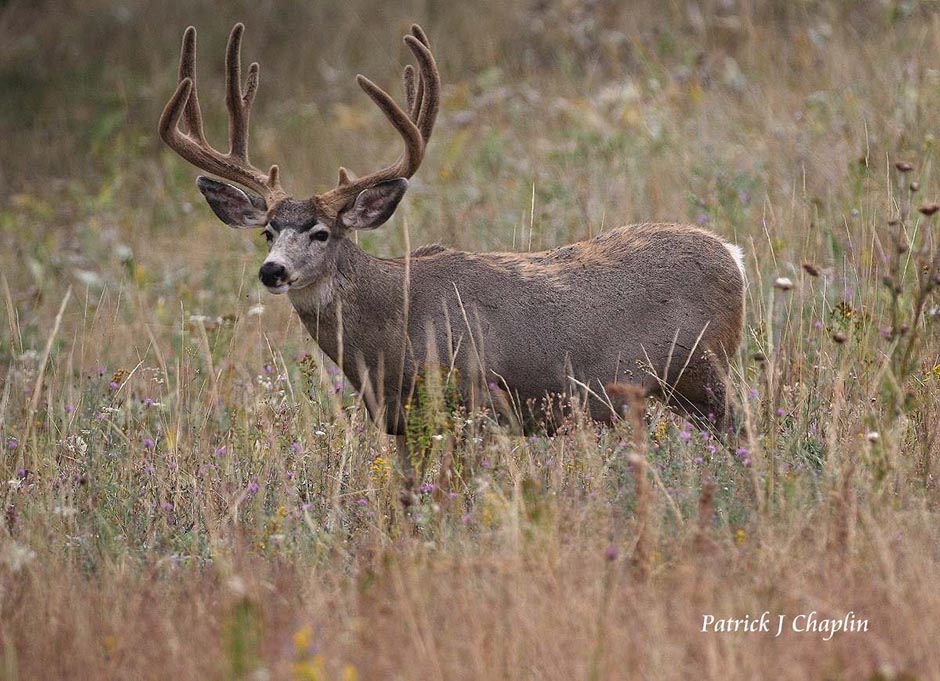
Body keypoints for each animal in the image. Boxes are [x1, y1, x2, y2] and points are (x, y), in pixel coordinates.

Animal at [160, 22, 748, 488]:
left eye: (322, 233)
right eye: (267, 232)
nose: (273, 271)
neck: (392, 330)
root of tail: (733, 253)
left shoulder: (472, 401)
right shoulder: (400, 422)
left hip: (701, 367)